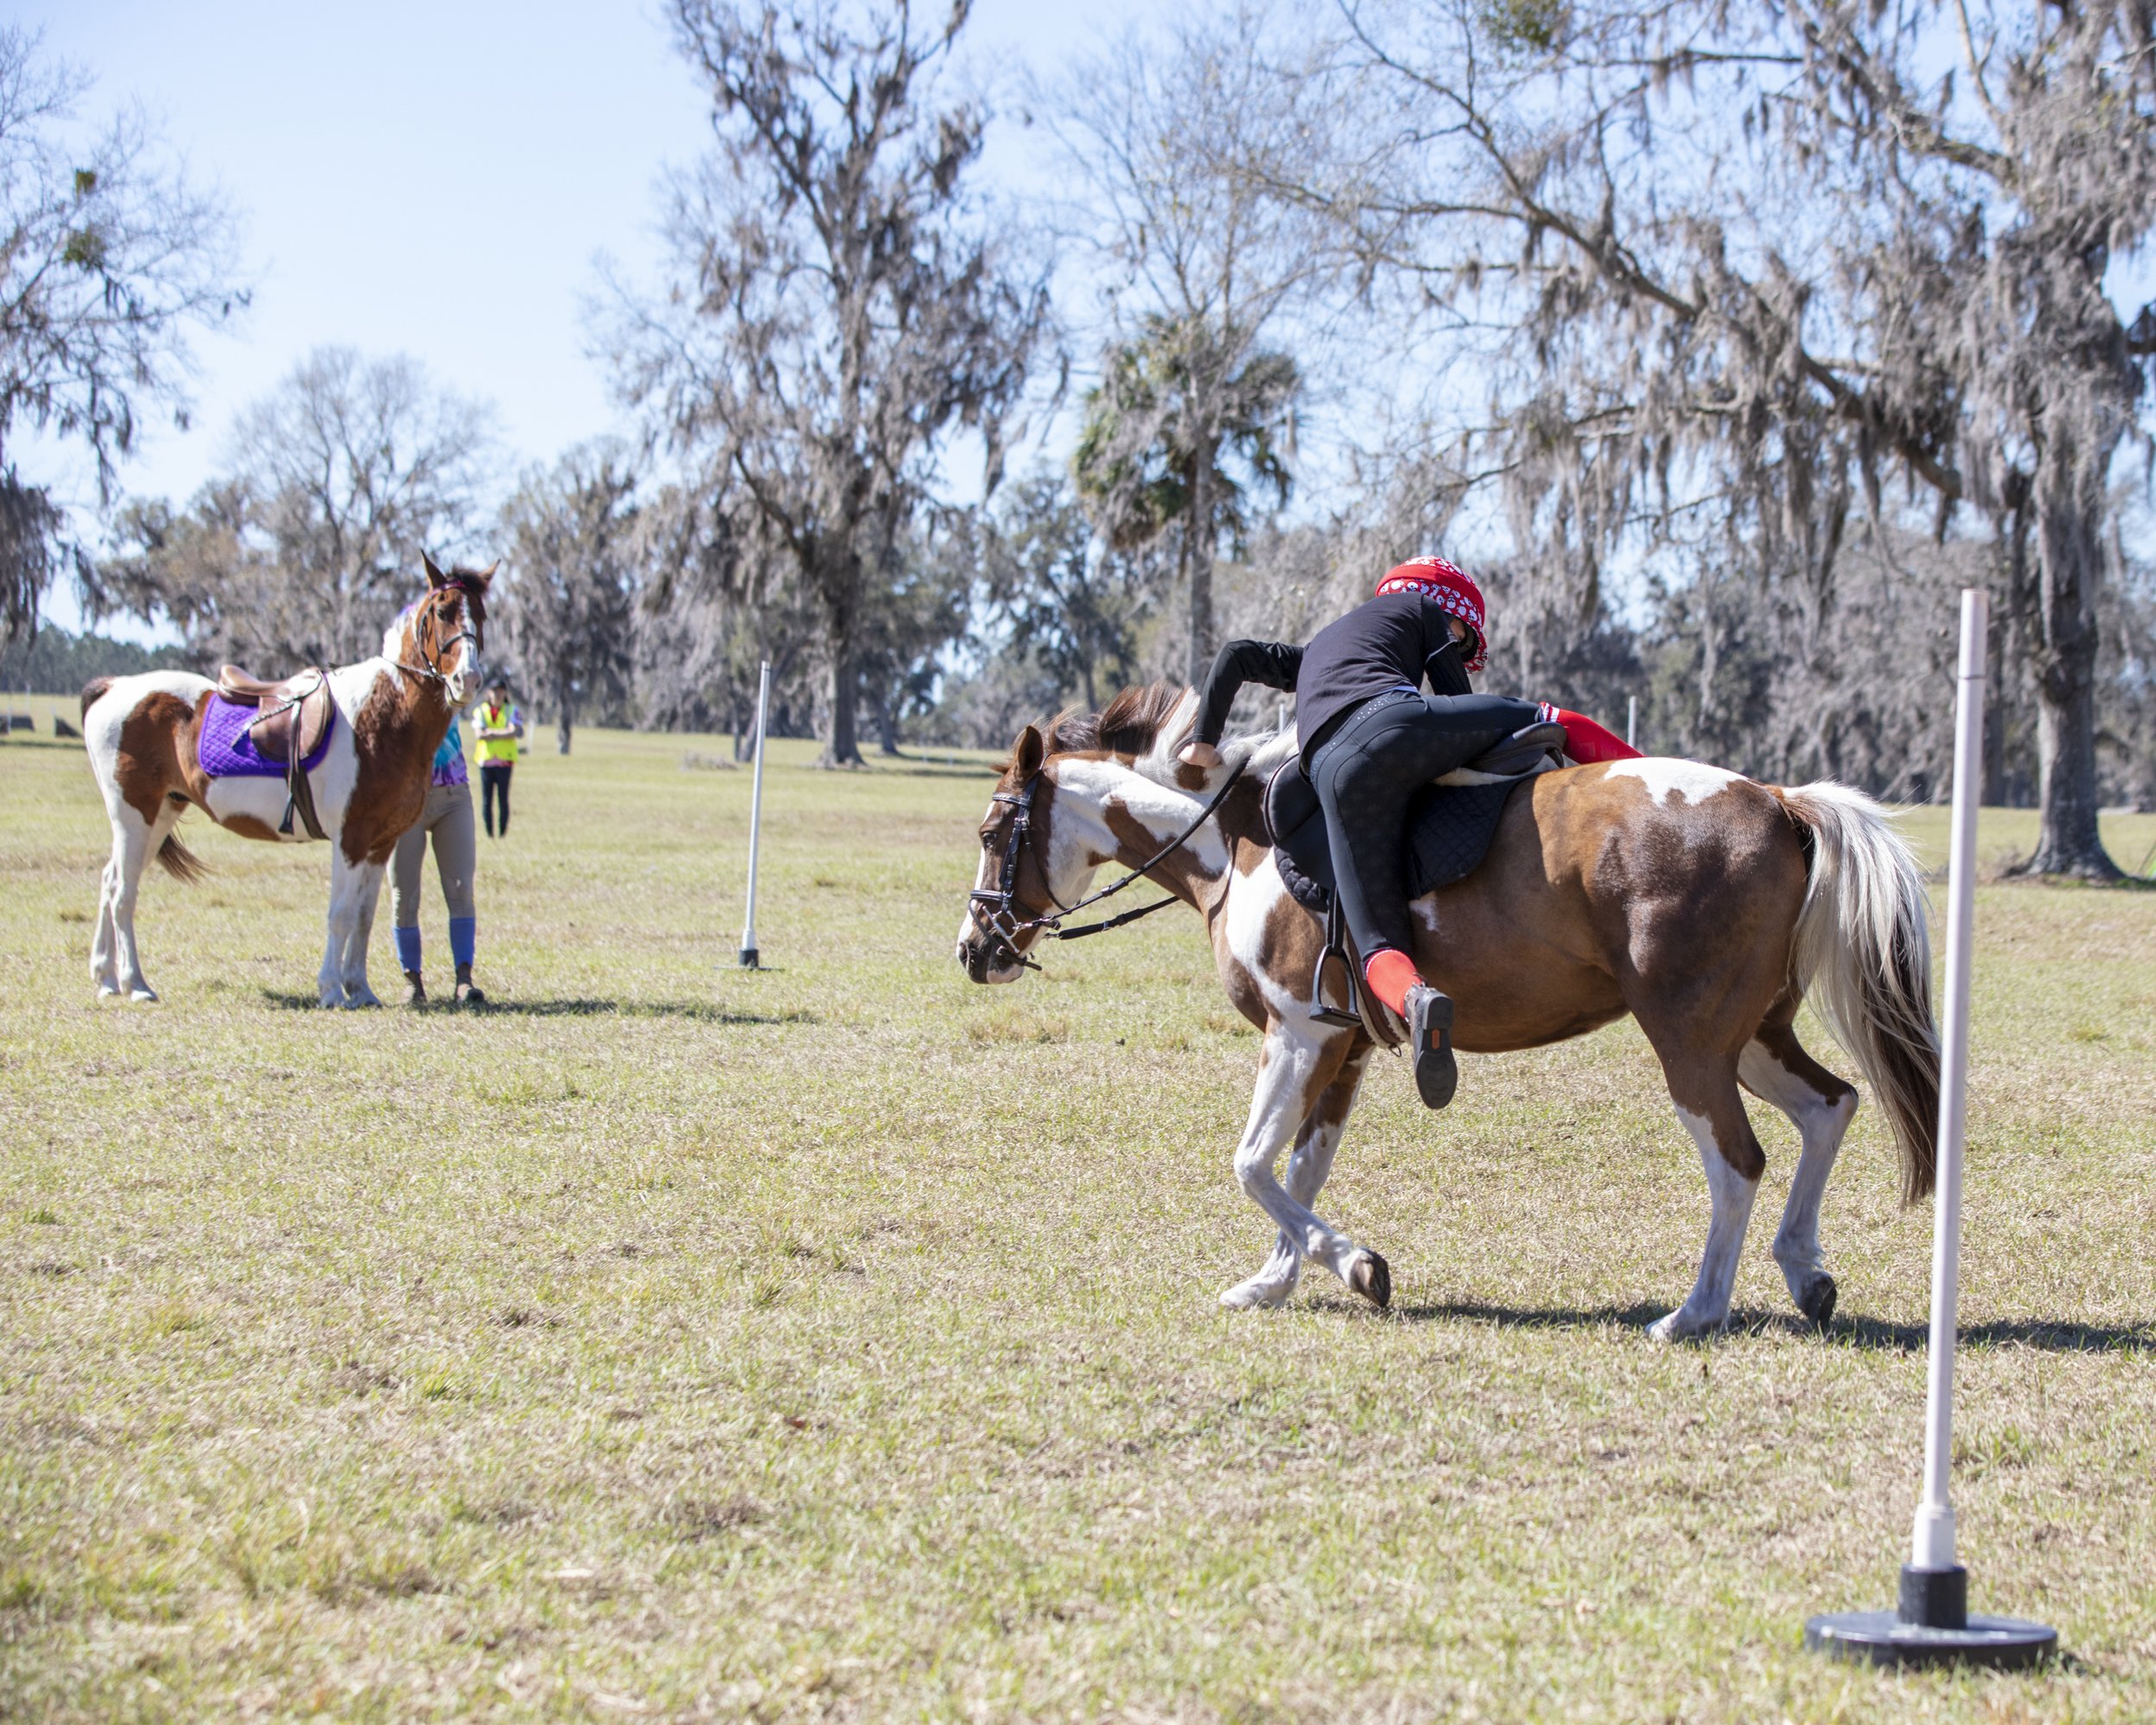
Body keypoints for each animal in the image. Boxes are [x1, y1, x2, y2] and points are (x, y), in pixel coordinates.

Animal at [78, 556, 493, 1008]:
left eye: (481, 615)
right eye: (442, 612)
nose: (468, 681)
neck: (382, 714)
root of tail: (114, 687)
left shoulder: (380, 844)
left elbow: (364, 917)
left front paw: (360, 989)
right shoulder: (351, 839)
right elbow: (341, 915)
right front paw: (331, 989)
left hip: (160, 813)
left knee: (109, 881)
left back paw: (105, 978)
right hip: (133, 816)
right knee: (123, 893)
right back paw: (135, 983)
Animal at [954, 683, 1940, 1342]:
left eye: (995, 830)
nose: (973, 949)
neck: (1238, 842)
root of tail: (1775, 799)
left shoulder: (1295, 1032)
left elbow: (1251, 1164)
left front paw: (1356, 1265)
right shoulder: (1342, 1044)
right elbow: (1297, 1170)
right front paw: (1275, 1281)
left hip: (1689, 1041)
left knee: (1738, 1161)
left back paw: (1693, 1312)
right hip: (1751, 1036)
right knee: (1830, 1106)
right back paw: (1803, 1272)